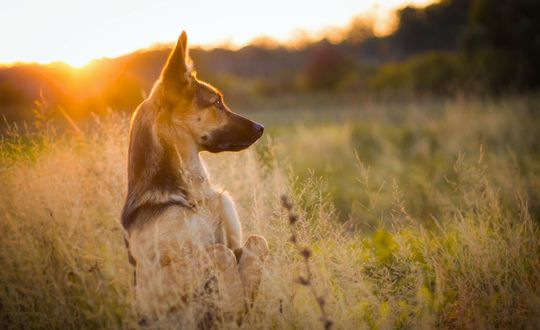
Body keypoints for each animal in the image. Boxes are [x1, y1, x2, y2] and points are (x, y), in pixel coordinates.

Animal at [120, 31, 268, 328]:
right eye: (217, 103)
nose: (260, 128)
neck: (192, 195)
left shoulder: (237, 243)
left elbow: (256, 242)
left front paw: (242, 302)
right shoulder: (150, 285)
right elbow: (219, 253)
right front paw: (234, 305)